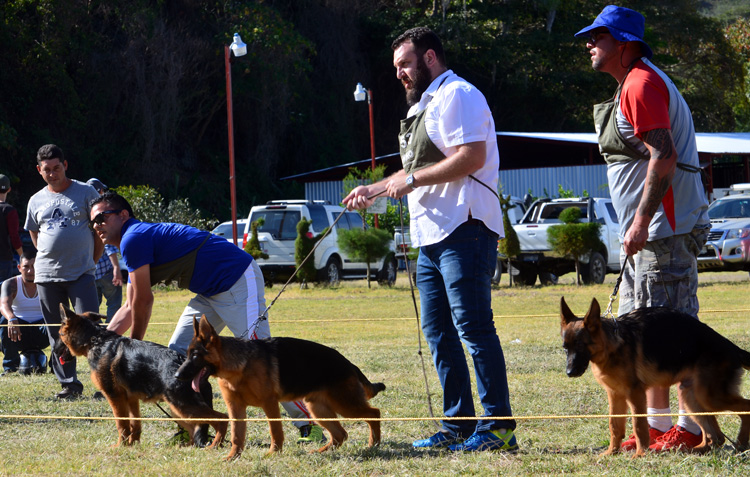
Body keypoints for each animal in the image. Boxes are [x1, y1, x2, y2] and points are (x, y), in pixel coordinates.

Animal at [55, 304, 228, 446]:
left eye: (59, 335)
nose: (55, 351)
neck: (94, 339)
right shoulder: (131, 399)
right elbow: (135, 424)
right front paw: (133, 444)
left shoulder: (115, 397)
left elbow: (122, 424)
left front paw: (120, 446)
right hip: (177, 409)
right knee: (196, 427)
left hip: (183, 405)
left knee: (222, 419)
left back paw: (214, 446)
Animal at [175, 318, 388, 460]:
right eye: (187, 355)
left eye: (195, 355)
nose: (176, 376)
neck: (239, 364)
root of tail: (348, 363)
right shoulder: (235, 408)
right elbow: (237, 435)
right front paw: (232, 456)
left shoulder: (270, 403)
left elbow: (275, 430)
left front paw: (273, 453)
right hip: (319, 409)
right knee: (340, 434)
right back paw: (319, 452)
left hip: (345, 405)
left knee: (374, 413)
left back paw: (374, 444)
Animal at [560, 296, 750, 456]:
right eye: (565, 348)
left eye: (580, 345)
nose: (569, 373)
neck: (611, 345)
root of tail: (733, 348)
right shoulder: (615, 395)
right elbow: (614, 426)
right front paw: (611, 453)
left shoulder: (635, 394)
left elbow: (639, 426)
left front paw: (640, 454)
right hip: (693, 398)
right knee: (716, 437)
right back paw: (694, 450)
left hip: (710, 397)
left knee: (745, 408)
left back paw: (740, 444)